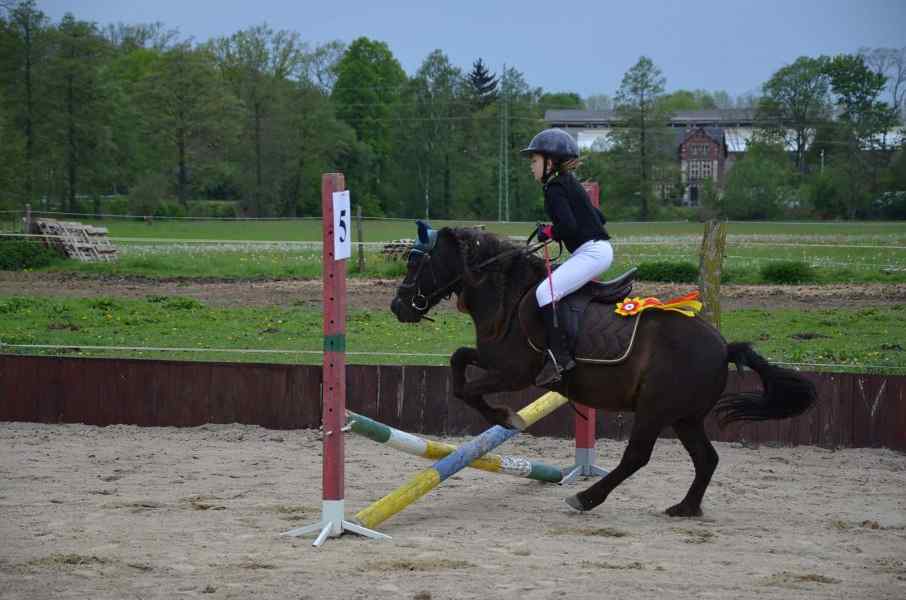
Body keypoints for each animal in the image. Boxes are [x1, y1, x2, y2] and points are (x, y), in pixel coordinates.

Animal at [392, 225, 816, 516]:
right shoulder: (493, 360)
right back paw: (685, 507)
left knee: (637, 457)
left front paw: (505, 417)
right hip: (684, 417)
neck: (509, 297)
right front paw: (501, 414)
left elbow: (466, 389)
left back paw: (586, 497)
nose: (398, 307)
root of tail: (723, 346)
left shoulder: (514, 372)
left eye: (417, 261)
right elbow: (459, 360)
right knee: (706, 458)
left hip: (655, 410)